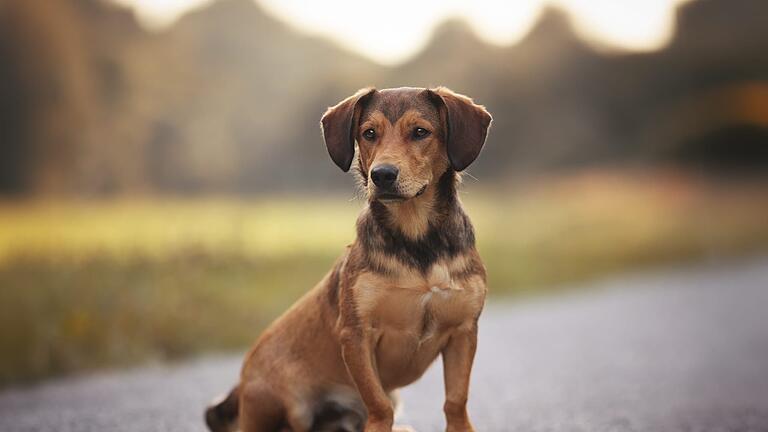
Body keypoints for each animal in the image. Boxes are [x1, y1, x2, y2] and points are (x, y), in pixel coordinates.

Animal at [206, 87, 492, 432]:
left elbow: (456, 401)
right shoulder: (356, 335)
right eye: (369, 133)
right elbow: (378, 404)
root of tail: (240, 385)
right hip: (278, 400)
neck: (417, 239)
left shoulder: (464, 332)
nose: (382, 175)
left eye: (420, 132)